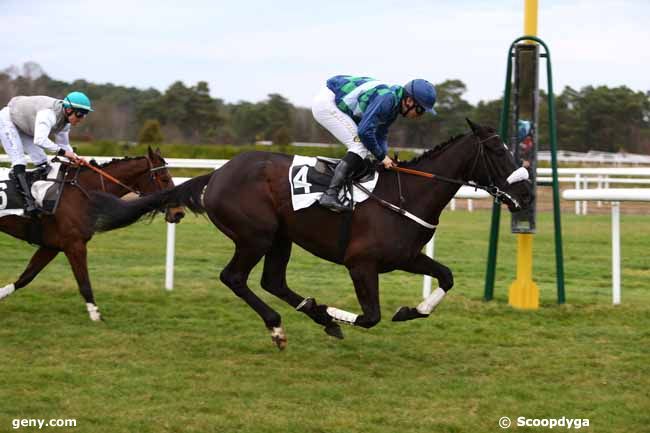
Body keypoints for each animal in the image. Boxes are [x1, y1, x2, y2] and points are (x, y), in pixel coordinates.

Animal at [0, 147, 184, 318]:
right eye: (164, 178)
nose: (179, 213)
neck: (83, 192)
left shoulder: (52, 245)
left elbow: (27, 276)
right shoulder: (74, 245)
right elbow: (84, 282)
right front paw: (96, 315)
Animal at [91, 119, 528, 348]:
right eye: (499, 152)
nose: (525, 192)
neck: (407, 193)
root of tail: (215, 174)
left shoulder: (406, 256)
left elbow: (446, 277)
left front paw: (411, 310)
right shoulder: (360, 264)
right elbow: (370, 316)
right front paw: (335, 311)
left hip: (280, 237)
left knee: (272, 280)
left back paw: (313, 315)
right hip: (256, 235)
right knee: (235, 277)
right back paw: (281, 324)